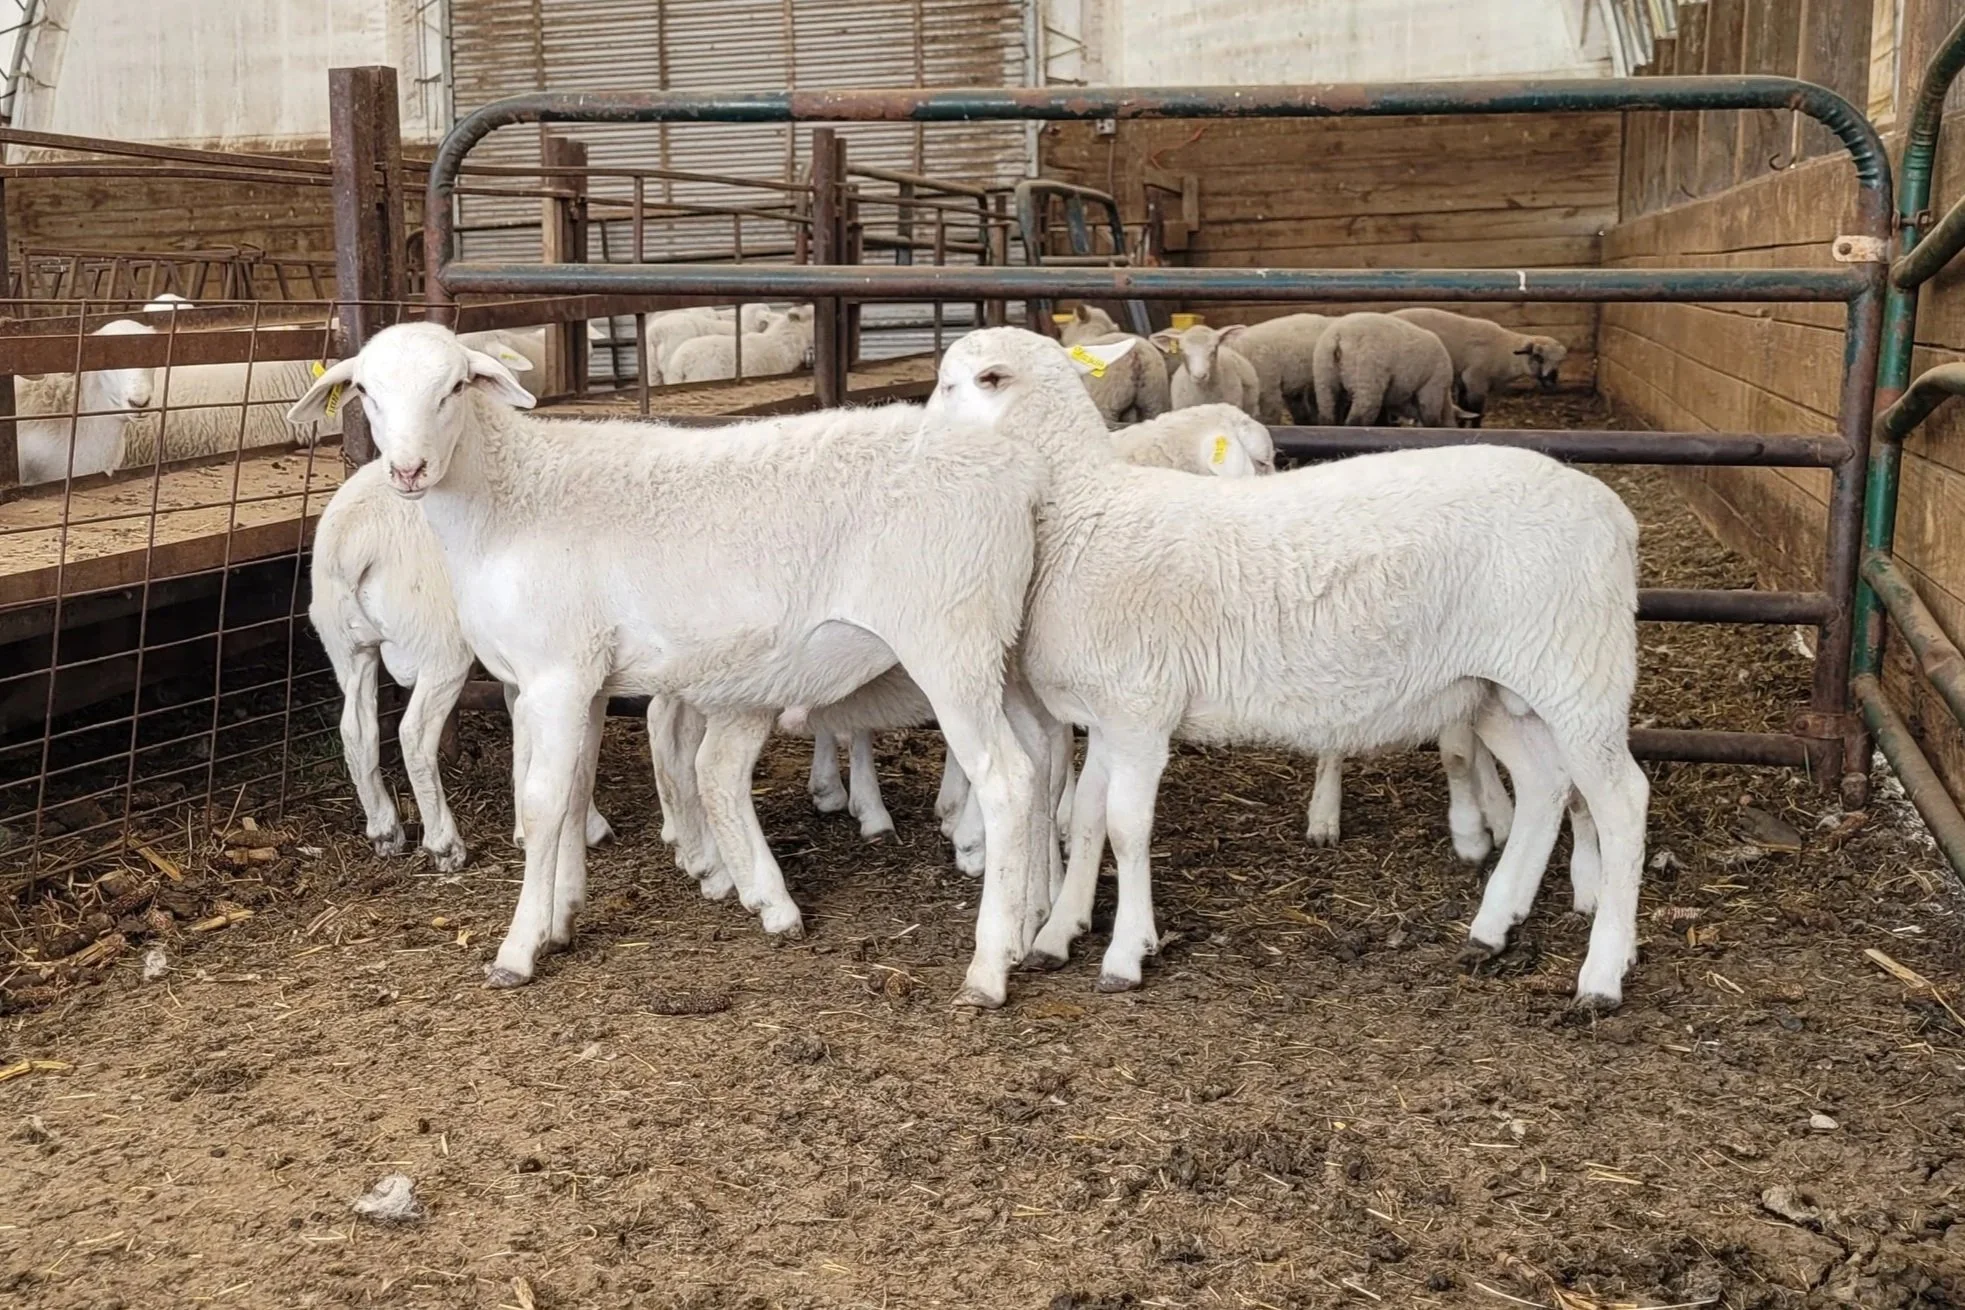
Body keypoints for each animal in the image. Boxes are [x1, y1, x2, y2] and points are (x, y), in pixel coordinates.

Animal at [310, 459, 617, 870]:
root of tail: (356, 535)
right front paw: (588, 826)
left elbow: (521, 722)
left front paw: (524, 828)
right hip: (441, 644)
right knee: (413, 734)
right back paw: (444, 843)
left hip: (347, 646)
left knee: (356, 730)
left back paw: (385, 829)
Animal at [927, 327, 1647, 1009]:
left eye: (985, 379)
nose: (924, 441)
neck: (1085, 513)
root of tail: (1615, 512)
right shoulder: (1112, 714)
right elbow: (1087, 819)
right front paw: (1059, 933)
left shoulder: (1140, 709)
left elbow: (1127, 830)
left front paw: (1125, 954)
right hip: (1497, 690)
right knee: (1545, 784)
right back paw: (1493, 927)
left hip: (1580, 670)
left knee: (1621, 799)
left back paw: (1602, 972)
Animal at [1311, 312, 1456, 428]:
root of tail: (1339, 335)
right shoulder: (1432, 387)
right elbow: (1431, 418)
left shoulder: (1399, 396)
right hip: (1367, 377)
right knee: (1360, 415)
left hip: (1324, 377)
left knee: (1328, 413)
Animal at [1390, 308, 1568, 425]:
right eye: (1538, 357)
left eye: (1559, 361)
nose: (1551, 382)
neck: (1504, 350)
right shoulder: (1476, 381)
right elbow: (1477, 412)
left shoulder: (1463, 381)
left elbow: (1463, 408)